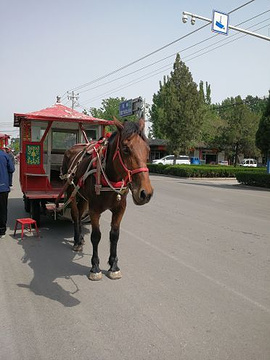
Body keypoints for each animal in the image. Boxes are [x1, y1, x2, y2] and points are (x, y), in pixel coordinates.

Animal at [61, 118, 154, 282]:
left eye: (148, 150)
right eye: (125, 149)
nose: (145, 193)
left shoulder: (120, 208)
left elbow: (114, 235)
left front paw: (114, 265)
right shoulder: (94, 210)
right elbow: (96, 236)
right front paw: (95, 267)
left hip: (83, 196)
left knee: (80, 211)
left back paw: (80, 239)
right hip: (71, 190)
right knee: (76, 215)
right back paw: (77, 241)